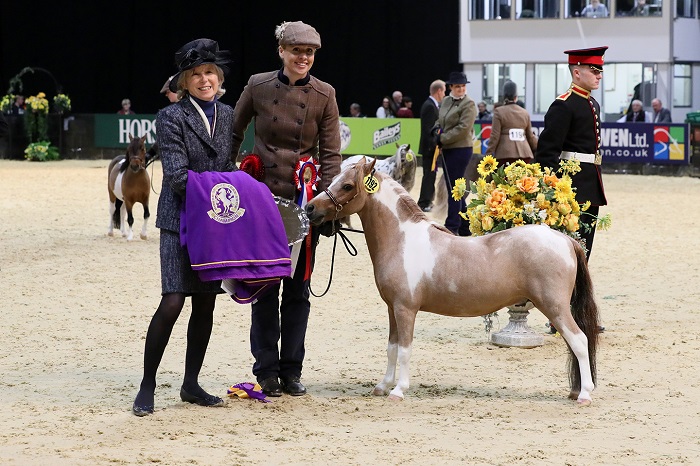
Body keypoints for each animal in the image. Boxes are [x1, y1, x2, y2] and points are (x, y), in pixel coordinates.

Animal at [306, 158, 600, 406]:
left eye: (347, 185)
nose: (310, 208)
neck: (402, 239)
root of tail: (565, 240)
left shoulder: (405, 309)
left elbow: (404, 350)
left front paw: (398, 390)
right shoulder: (392, 309)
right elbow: (391, 348)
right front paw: (382, 386)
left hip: (555, 307)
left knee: (579, 341)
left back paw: (584, 395)